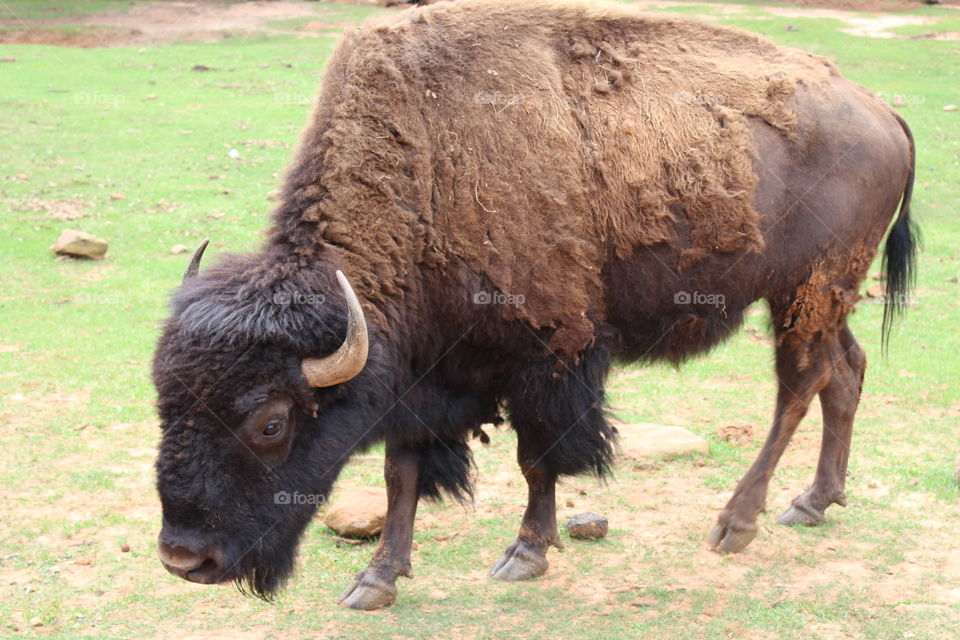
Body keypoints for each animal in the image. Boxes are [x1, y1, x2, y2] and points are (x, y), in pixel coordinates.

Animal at [153, 0, 917, 610]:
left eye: (272, 423)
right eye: (164, 404)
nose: (185, 558)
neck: (425, 168)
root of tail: (883, 111)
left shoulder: (548, 353)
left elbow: (538, 457)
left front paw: (525, 554)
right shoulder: (417, 371)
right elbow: (402, 472)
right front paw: (375, 580)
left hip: (805, 291)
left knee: (800, 384)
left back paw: (737, 523)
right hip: (825, 299)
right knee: (846, 372)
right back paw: (813, 502)